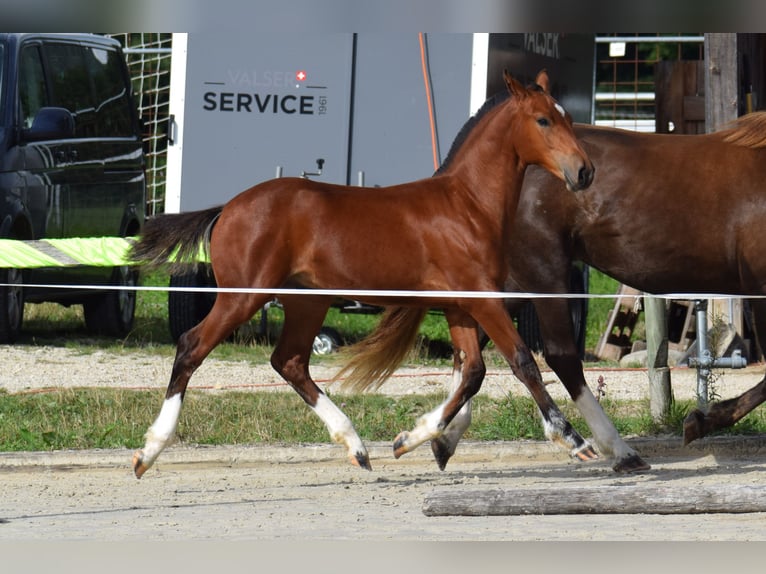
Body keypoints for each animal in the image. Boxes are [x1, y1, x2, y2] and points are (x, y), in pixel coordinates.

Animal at [132, 70, 596, 480]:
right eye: (543, 119)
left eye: (567, 118)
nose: (584, 171)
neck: (467, 206)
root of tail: (228, 207)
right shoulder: (483, 299)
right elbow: (522, 361)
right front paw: (574, 440)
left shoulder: (460, 306)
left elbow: (473, 373)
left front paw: (413, 439)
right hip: (243, 296)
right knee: (192, 347)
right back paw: (148, 451)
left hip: (306, 302)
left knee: (290, 362)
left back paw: (355, 446)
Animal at [378, 101, 766, 470]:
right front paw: (703, 420)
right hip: (543, 272)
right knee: (559, 356)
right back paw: (615, 450)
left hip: (511, 281)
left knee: (472, 351)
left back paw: (434, 437)